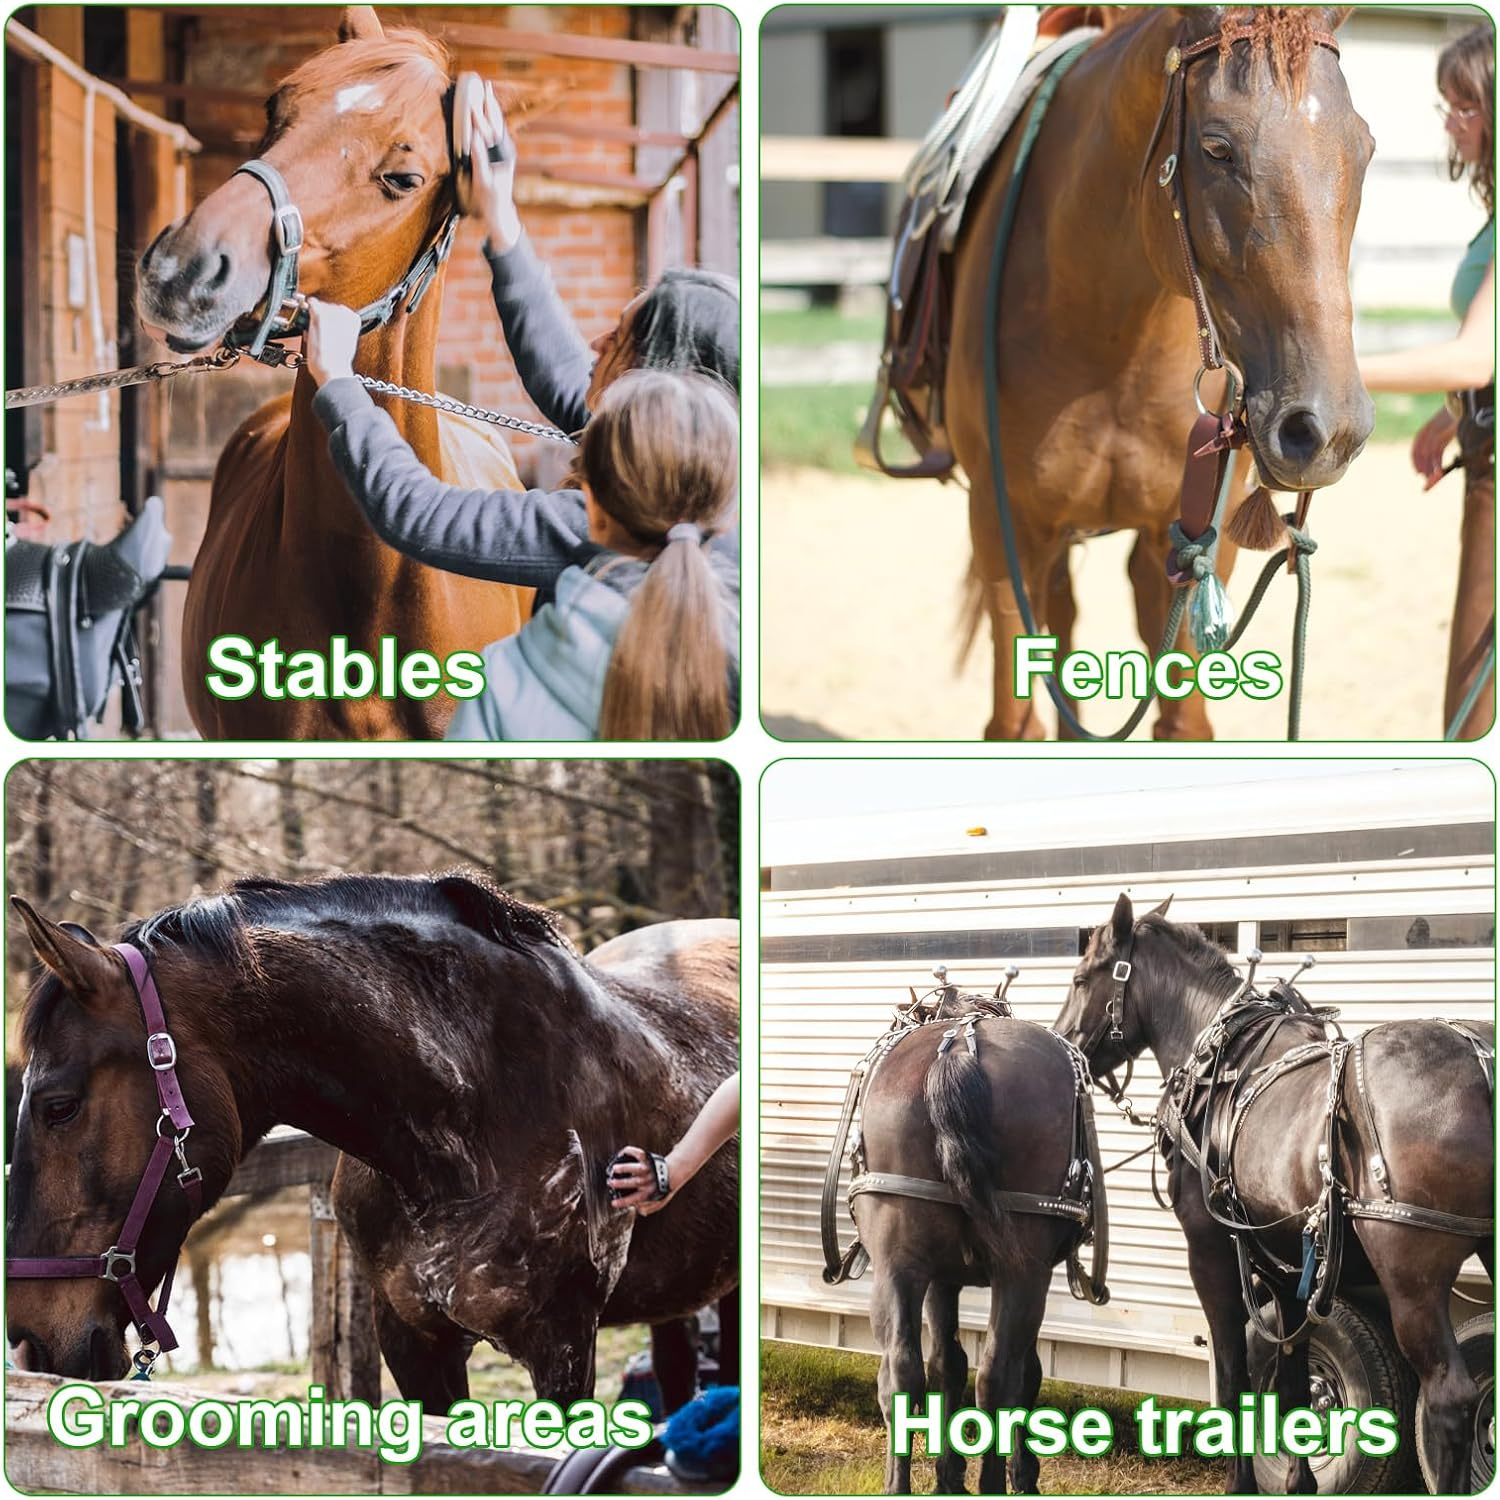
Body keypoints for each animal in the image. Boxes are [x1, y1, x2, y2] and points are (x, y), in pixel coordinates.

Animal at [839, 987, 1105, 1493]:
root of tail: (960, 1049)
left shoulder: (941, 1280)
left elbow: (946, 1364)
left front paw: (950, 1475)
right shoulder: (997, 1277)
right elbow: (1009, 1371)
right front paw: (1016, 1473)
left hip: (900, 1267)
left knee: (901, 1371)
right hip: (1020, 1273)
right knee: (998, 1376)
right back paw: (993, 1482)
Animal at [948, 7, 1375, 739]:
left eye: (1365, 148)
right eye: (1216, 148)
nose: (1328, 430)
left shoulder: (1190, 541)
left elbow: (1182, 720)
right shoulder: (1004, 529)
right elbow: (1015, 721)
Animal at [1054, 894, 1495, 1494]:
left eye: (1080, 978)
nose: (1063, 1046)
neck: (1220, 1061)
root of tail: (1481, 1063)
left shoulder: (1210, 1252)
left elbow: (1234, 1374)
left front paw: (1241, 1482)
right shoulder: (1286, 1266)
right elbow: (1291, 1384)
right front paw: (1297, 1481)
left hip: (1412, 1275)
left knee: (1450, 1399)